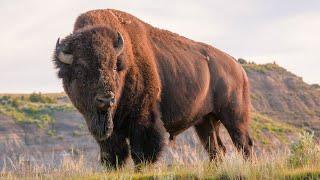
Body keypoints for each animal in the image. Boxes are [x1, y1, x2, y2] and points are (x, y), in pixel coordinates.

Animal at [53, 9, 252, 167]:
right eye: (80, 69)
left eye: (115, 66)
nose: (106, 99)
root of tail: (238, 68)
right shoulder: (109, 131)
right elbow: (114, 154)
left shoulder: (144, 118)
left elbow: (142, 153)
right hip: (205, 121)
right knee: (216, 148)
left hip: (234, 117)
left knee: (243, 144)